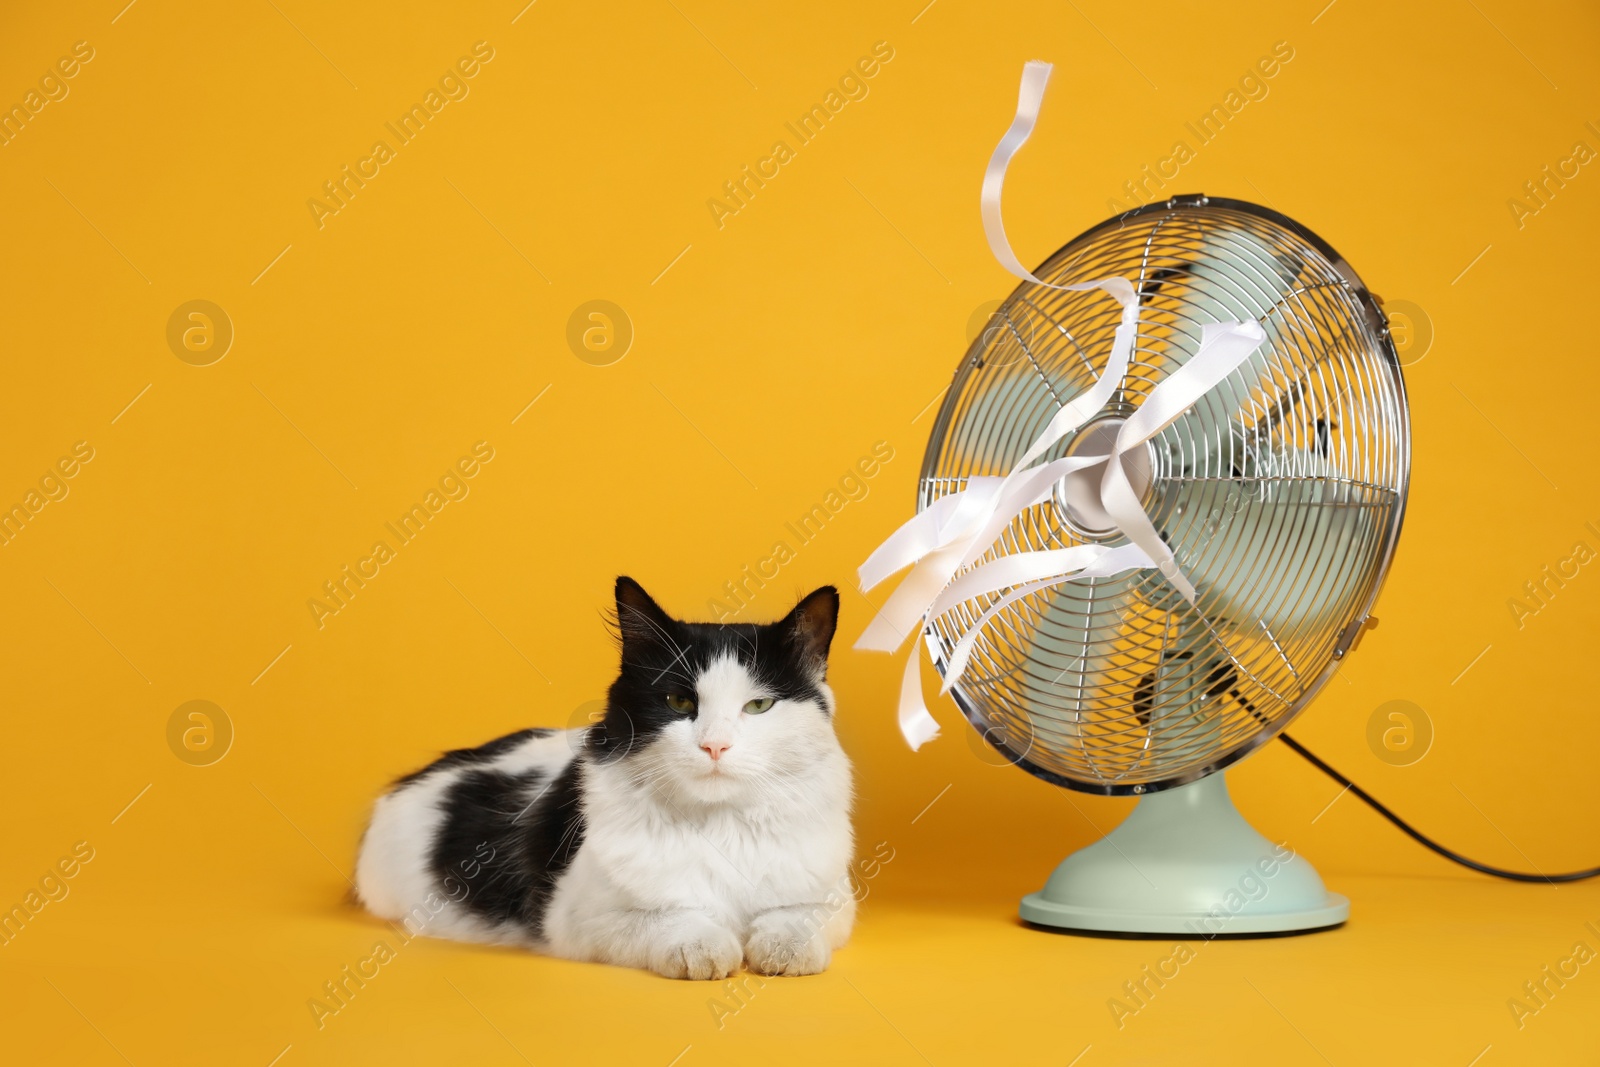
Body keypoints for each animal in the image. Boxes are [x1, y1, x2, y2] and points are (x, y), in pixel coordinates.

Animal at [348, 579, 851, 979]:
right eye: (679, 703)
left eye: (758, 706)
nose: (715, 746)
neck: (718, 823)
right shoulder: (579, 915)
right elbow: (671, 917)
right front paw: (704, 947)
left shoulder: (833, 897)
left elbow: (796, 917)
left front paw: (783, 950)